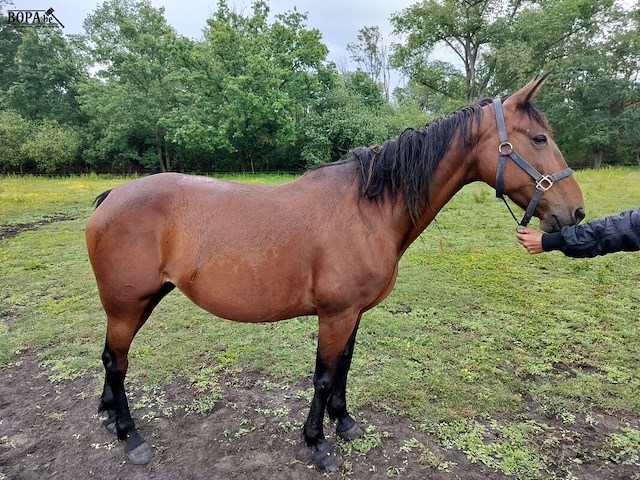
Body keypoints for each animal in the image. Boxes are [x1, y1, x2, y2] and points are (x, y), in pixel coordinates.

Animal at [85, 77, 585, 471]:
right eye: (539, 138)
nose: (576, 213)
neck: (369, 210)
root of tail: (111, 198)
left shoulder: (354, 313)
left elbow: (344, 366)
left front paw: (343, 422)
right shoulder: (336, 314)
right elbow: (324, 376)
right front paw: (317, 443)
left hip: (141, 302)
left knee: (112, 362)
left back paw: (109, 415)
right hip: (127, 305)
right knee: (116, 361)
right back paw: (130, 437)